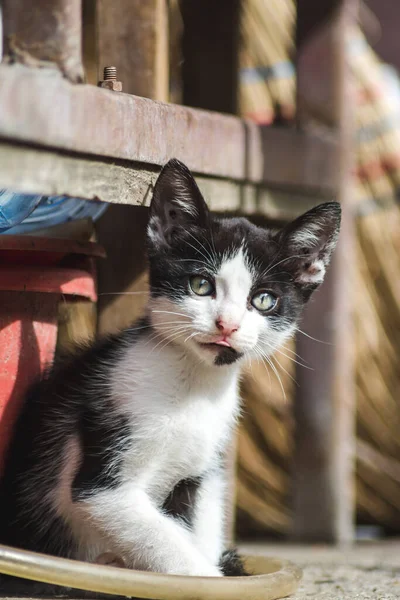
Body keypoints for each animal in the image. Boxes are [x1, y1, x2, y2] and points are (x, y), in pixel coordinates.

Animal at [0, 158, 340, 576]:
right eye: (200, 285)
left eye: (263, 300)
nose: (227, 324)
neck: (193, 384)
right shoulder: (104, 485)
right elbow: (170, 547)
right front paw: (208, 578)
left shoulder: (199, 474)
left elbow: (196, 528)